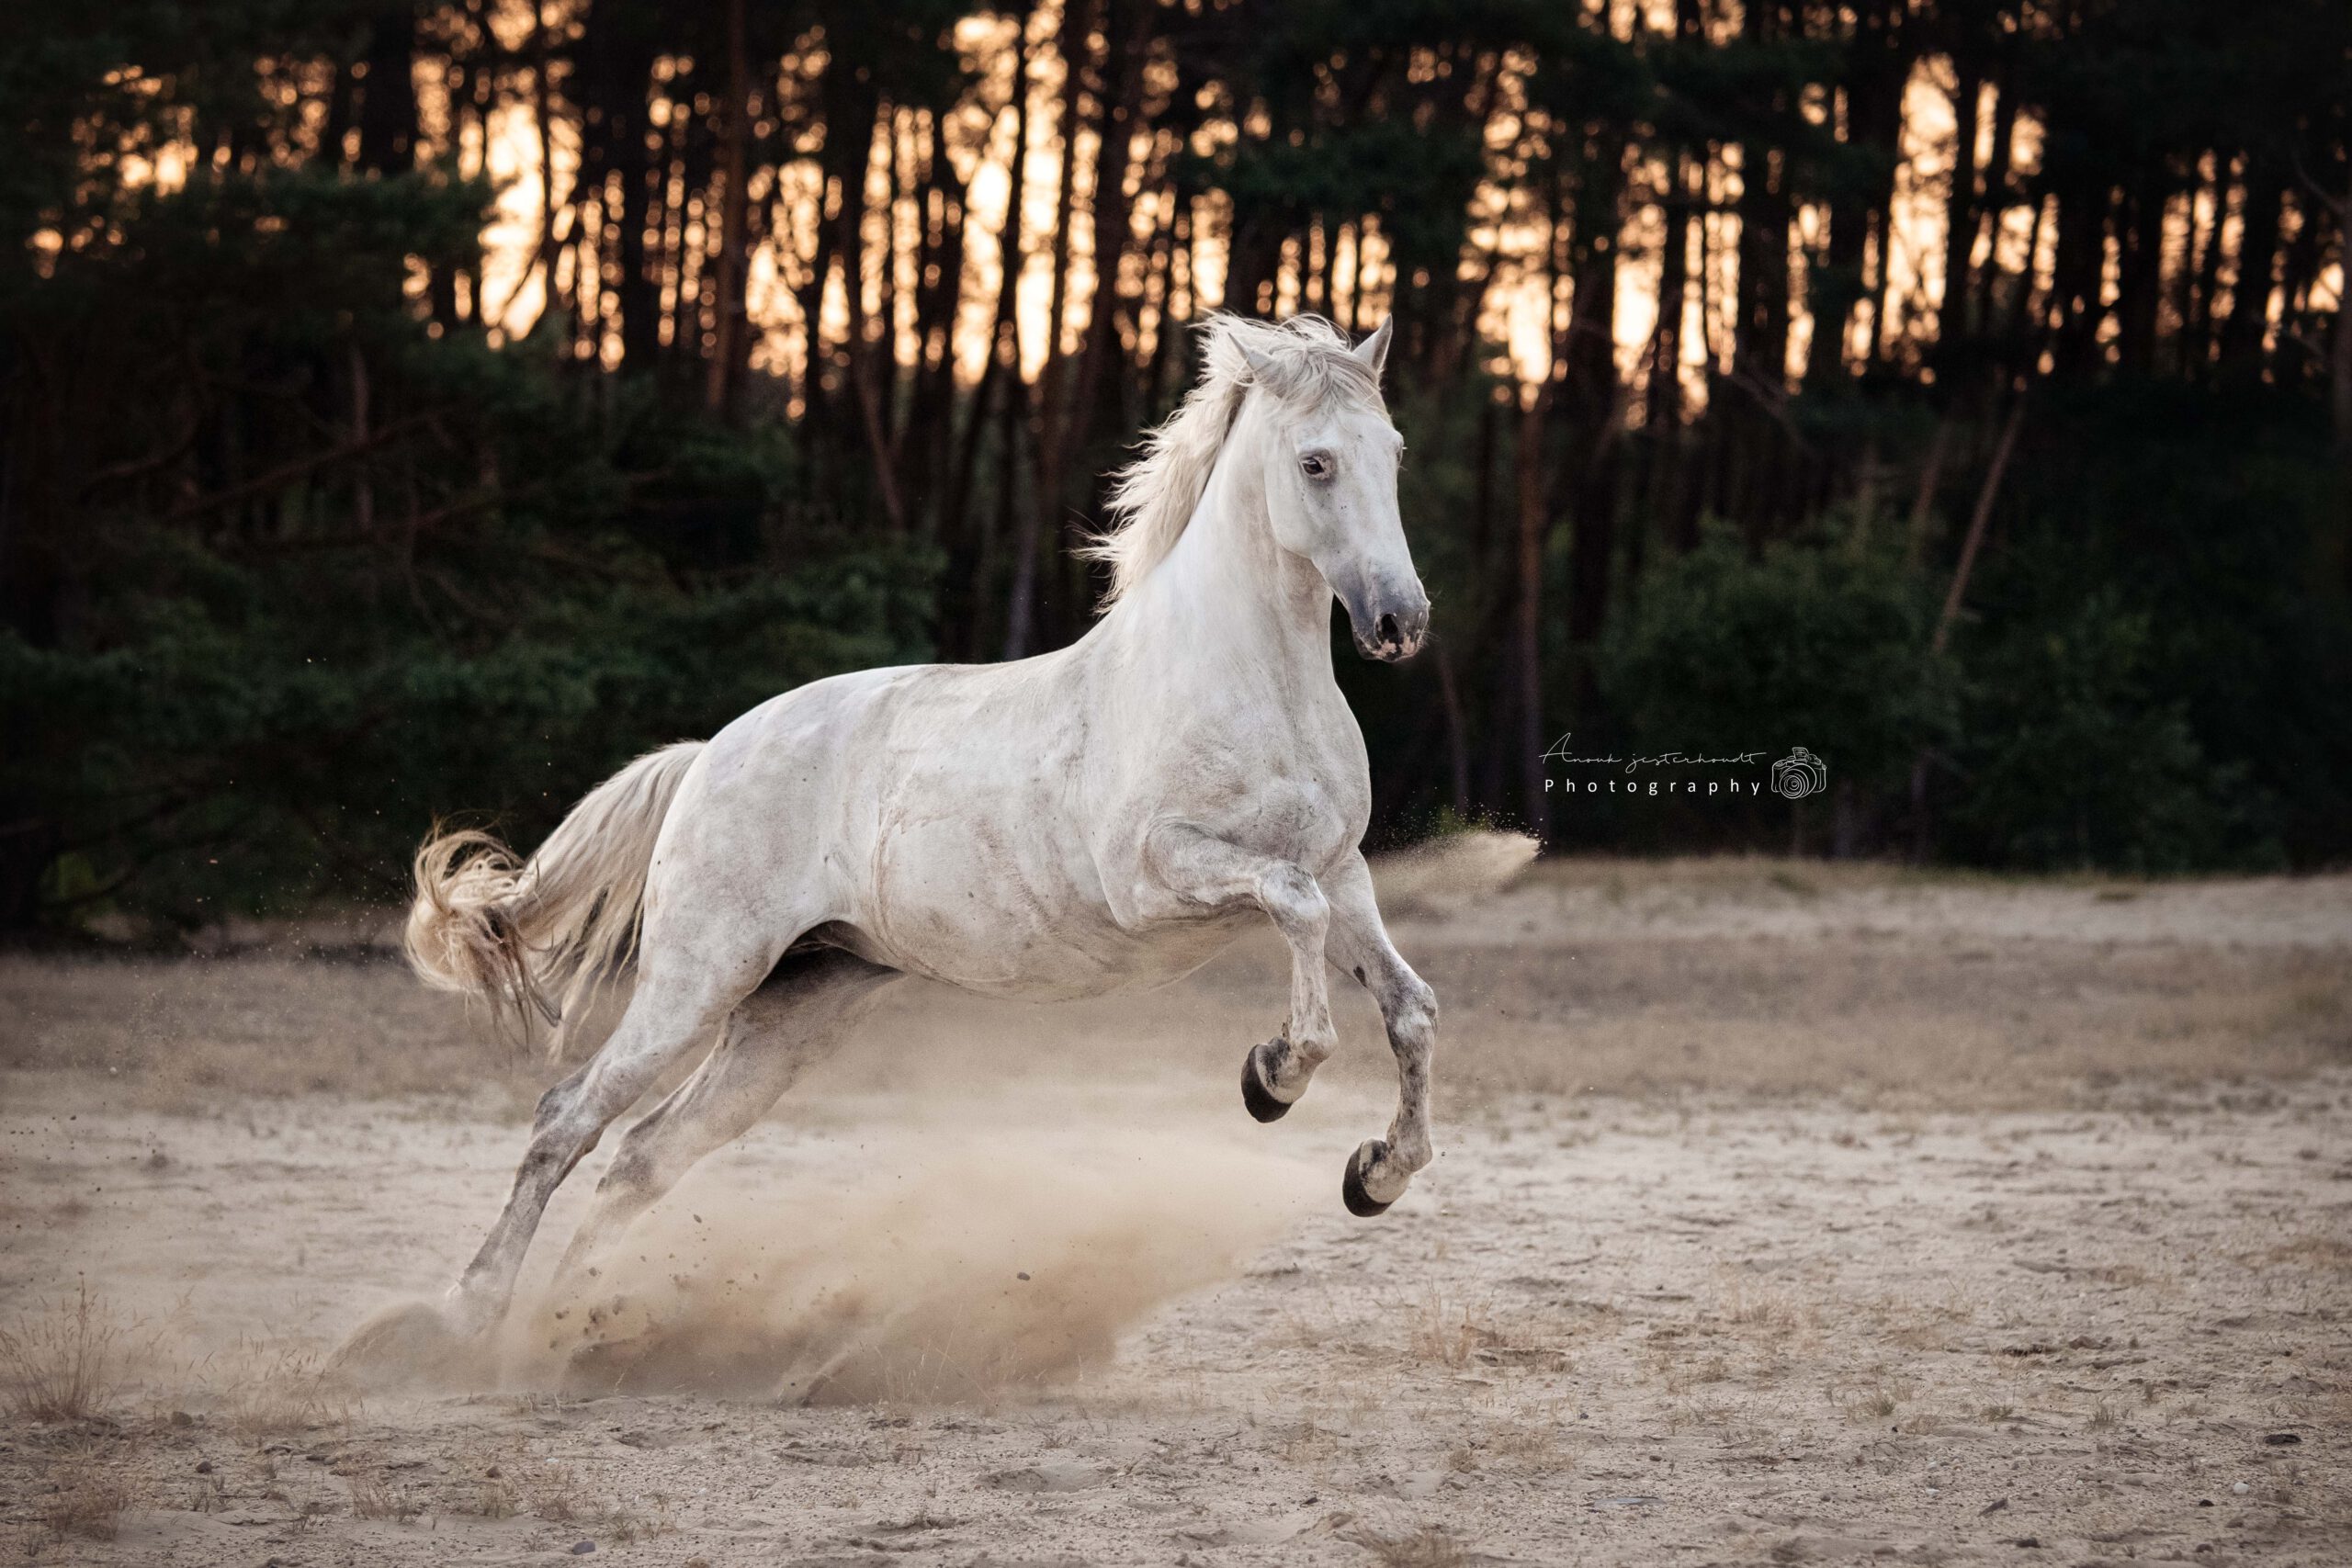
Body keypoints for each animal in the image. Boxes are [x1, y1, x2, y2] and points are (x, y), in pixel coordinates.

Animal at [403, 312, 1441, 1335]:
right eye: (1315, 462)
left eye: (1393, 451)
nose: (1400, 622)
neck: (1249, 682)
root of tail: (707, 755)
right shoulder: (1159, 874)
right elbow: (1293, 910)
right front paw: (1273, 1076)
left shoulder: (1343, 871)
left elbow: (1407, 1004)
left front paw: (1375, 1175)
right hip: (695, 979)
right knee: (568, 1118)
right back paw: (466, 1320)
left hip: (795, 1009)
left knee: (642, 1157)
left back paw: (567, 1334)